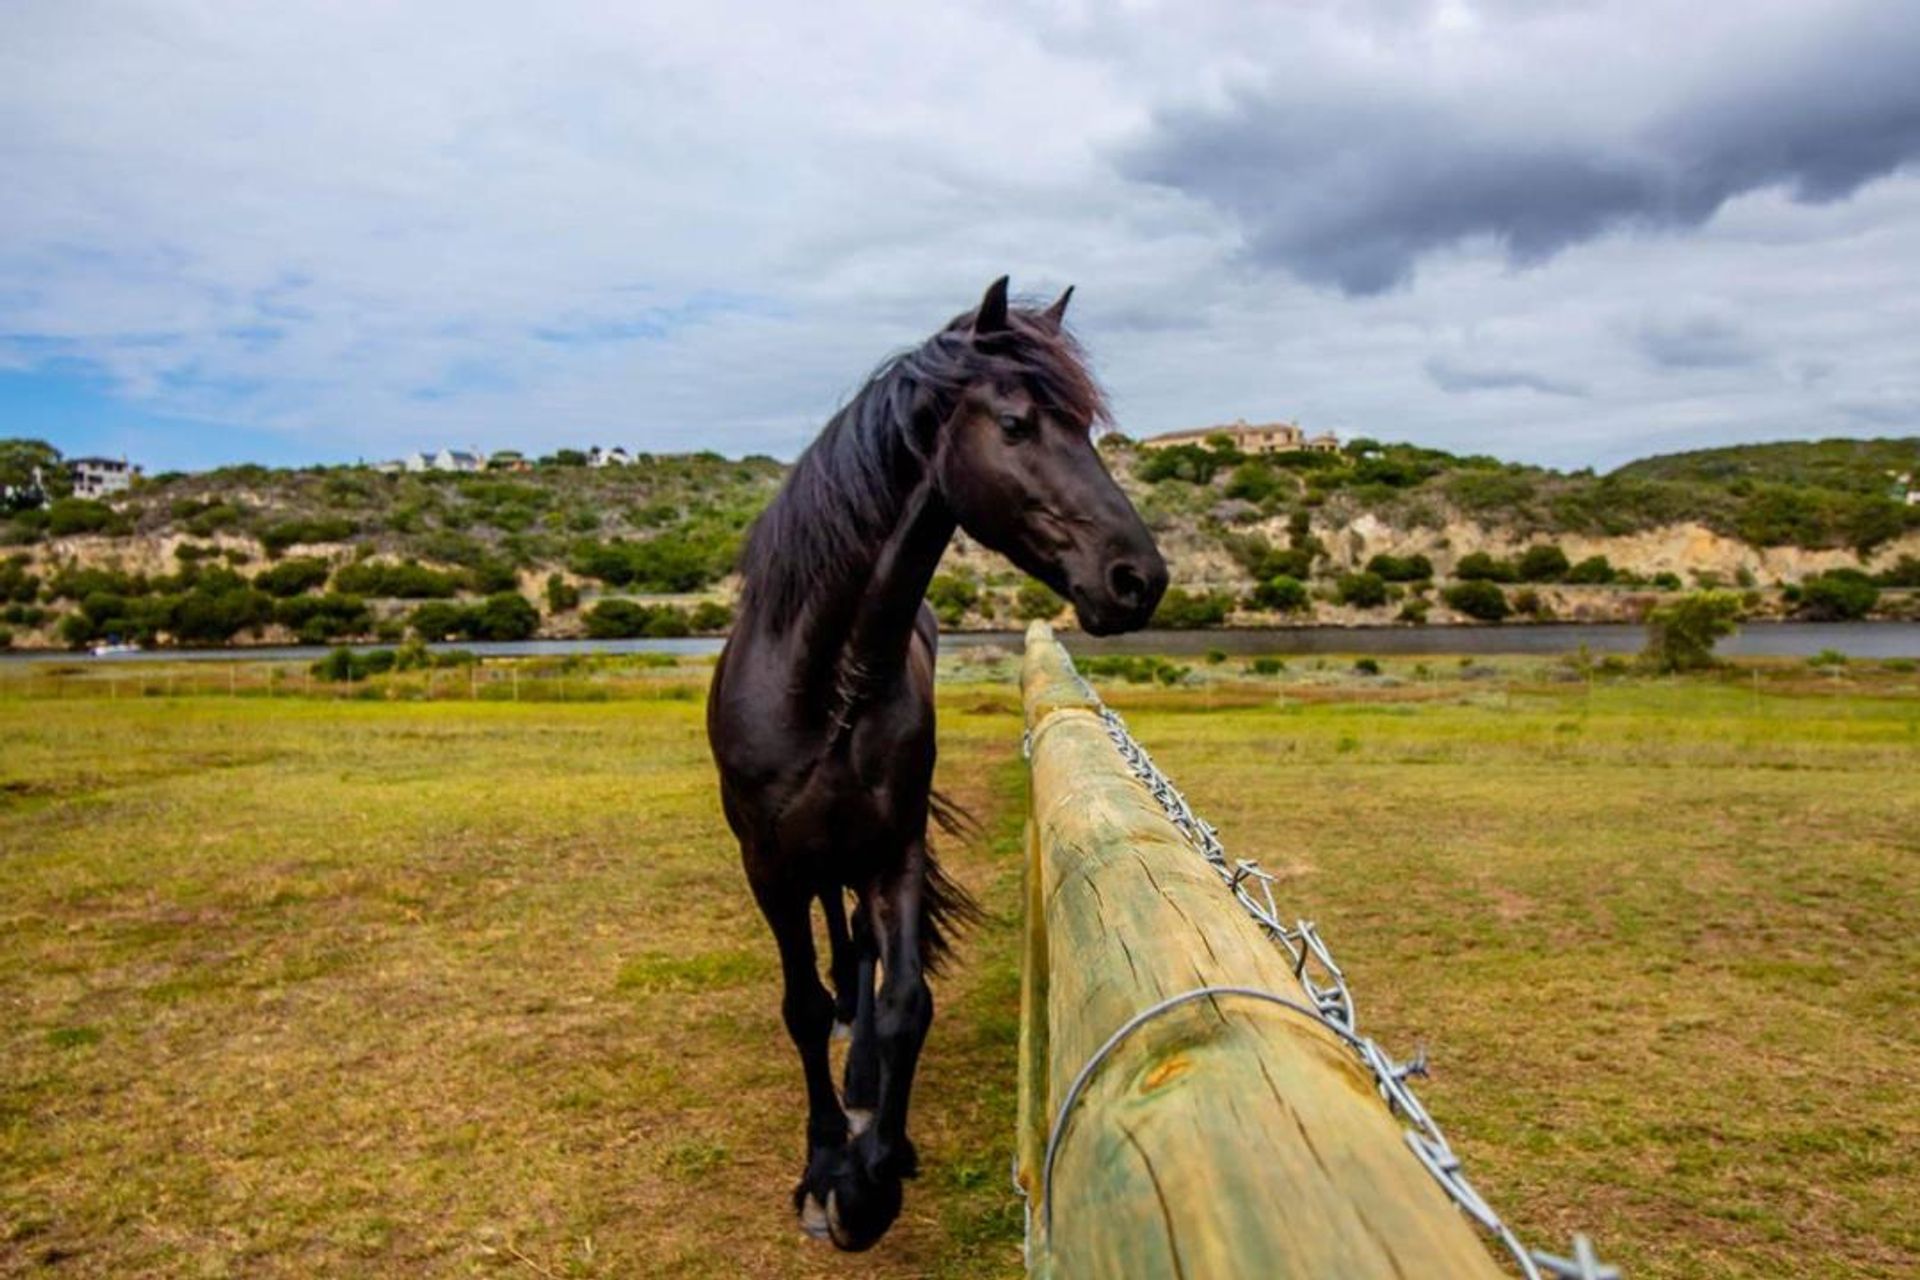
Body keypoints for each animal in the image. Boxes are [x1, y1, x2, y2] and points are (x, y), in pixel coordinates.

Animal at [702, 278, 1152, 1251]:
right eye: (1017, 423)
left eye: (1088, 429)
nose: (1139, 578)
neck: (822, 682)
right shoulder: (768, 866)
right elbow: (800, 1006)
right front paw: (824, 1169)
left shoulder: (893, 849)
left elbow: (907, 997)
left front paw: (875, 1172)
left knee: (864, 950)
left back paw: (865, 1075)